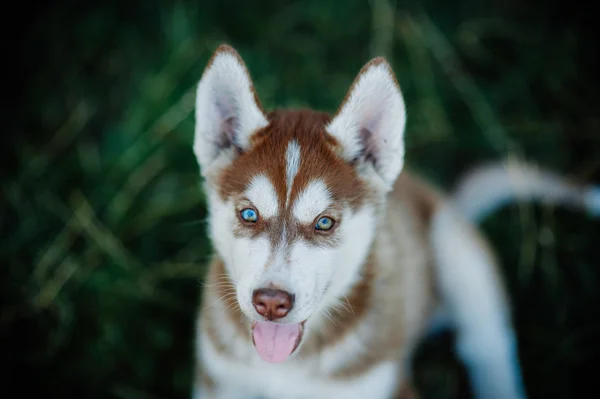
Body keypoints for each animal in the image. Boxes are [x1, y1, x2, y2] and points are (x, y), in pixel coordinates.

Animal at [192, 44, 600, 399]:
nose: (271, 302)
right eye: (248, 214)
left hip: (458, 255)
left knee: (487, 346)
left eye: (325, 223)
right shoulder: (218, 382)